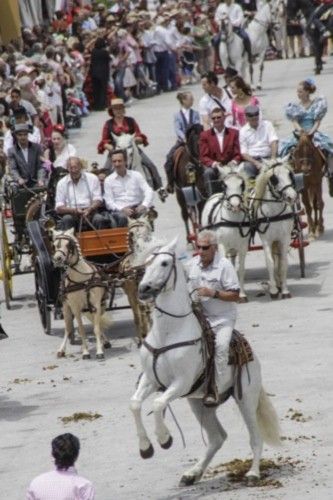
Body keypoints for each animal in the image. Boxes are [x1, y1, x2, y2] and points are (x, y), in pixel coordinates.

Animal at [130, 238, 280, 484]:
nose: (143, 289)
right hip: (199, 403)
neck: (168, 332)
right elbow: (134, 404)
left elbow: (158, 403)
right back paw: (192, 473)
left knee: (255, 436)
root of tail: (252, 356)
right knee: (217, 437)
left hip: (246, 398)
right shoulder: (151, 380)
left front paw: (164, 439)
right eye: (146, 263)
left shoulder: (180, 383)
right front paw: (145, 448)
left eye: (164, 263)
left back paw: (253, 473)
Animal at [201, 167, 250, 300]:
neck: (232, 220)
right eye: (224, 185)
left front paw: (242, 294)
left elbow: (241, 269)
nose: (235, 205)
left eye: (242, 184)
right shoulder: (222, 245)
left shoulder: (243, 246)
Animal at [252, 160, 296, 298]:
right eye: (274, 178)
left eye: (290, 174)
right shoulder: (266, 240)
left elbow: (283, 263)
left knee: (278, 259)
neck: (275, 213)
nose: (292, 197)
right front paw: (273, 291)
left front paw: (285, 290)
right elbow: (270, 263)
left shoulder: (284, 239)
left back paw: (279, 283)